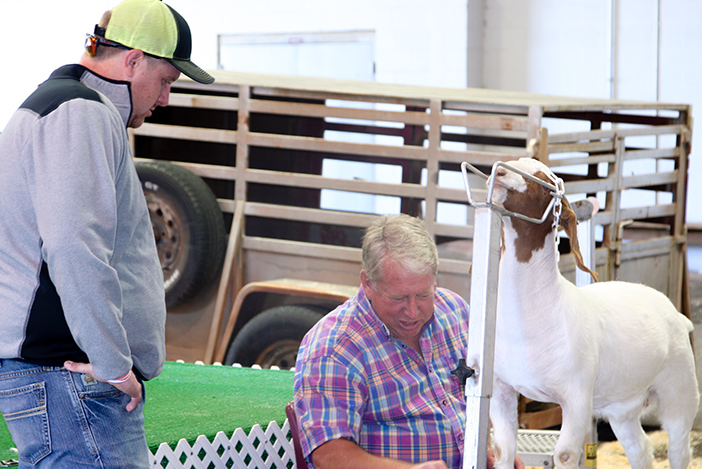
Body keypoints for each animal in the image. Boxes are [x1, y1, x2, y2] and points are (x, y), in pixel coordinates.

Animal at [490, 156, 700, 468]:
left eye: (543, 180)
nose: (501, 172)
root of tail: (677, 315)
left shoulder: (576, 399)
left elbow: (565, 455)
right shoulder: (501, 391)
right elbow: (503, 450)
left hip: (680, 388)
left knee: (678, 446)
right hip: (622, 406)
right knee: (640, 448)